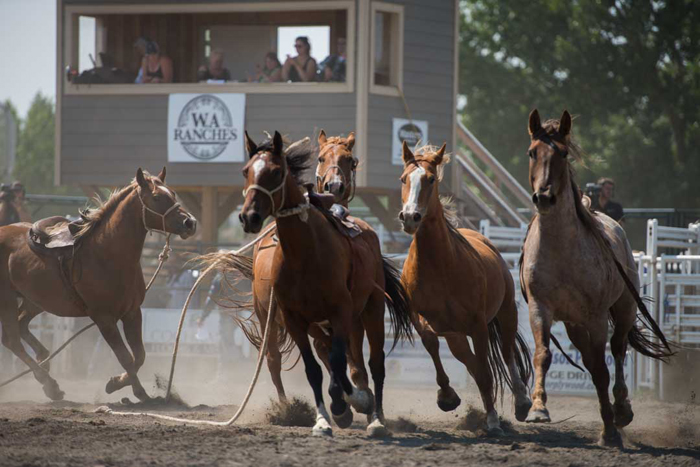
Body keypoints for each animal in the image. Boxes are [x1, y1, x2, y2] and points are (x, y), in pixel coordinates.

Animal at [0, 168, 196, 402]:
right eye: (157, 197)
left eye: (174, 194)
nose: (190, 223)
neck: (107, 253)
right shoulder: (103, 318)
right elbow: (125, 356)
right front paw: (138, 392)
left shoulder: (132, 312)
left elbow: (139, 355)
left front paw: (117, 382)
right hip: (8, 300)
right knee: (11, 340)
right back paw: (50, 384)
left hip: (36, 300)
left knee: (21, 325)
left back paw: (45, 366)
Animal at [238, 133, 412, 438]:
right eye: (246, 171)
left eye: (276, 172)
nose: (249, 217)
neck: (306, 253)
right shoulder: (296, 321)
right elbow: (315, 370)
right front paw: (323, 418)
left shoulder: (341, 313)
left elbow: (340, 364)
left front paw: (351, 403)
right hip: (275, 317)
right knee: (278, 359)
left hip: (371, 310)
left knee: (375, 363)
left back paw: (376, 418)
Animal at [396, 143, 532, 436]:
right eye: (403, 179)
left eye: (431, 179)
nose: (410, 217)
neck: (440, 265)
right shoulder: (423, 319)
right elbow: (432, 343)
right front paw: (447, 396)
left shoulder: (478, 325)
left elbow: (487, 370)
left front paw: (492, 420)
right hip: (456, 336)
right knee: (472, 363)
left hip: (506, 314)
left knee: (505, 354)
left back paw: (522, 402)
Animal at [520, 110, 672, 450]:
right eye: (532, 152)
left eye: (563, 153)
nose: (544, 197)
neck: (561, 249)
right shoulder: (540, 308)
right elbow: (543, 355)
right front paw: (538, 409)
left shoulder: (597, 316)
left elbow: (604, 370)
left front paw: (611, 429)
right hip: (574, 324)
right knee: (591, 361)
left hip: (623, 308)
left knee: (616, 351)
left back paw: (622, 410)